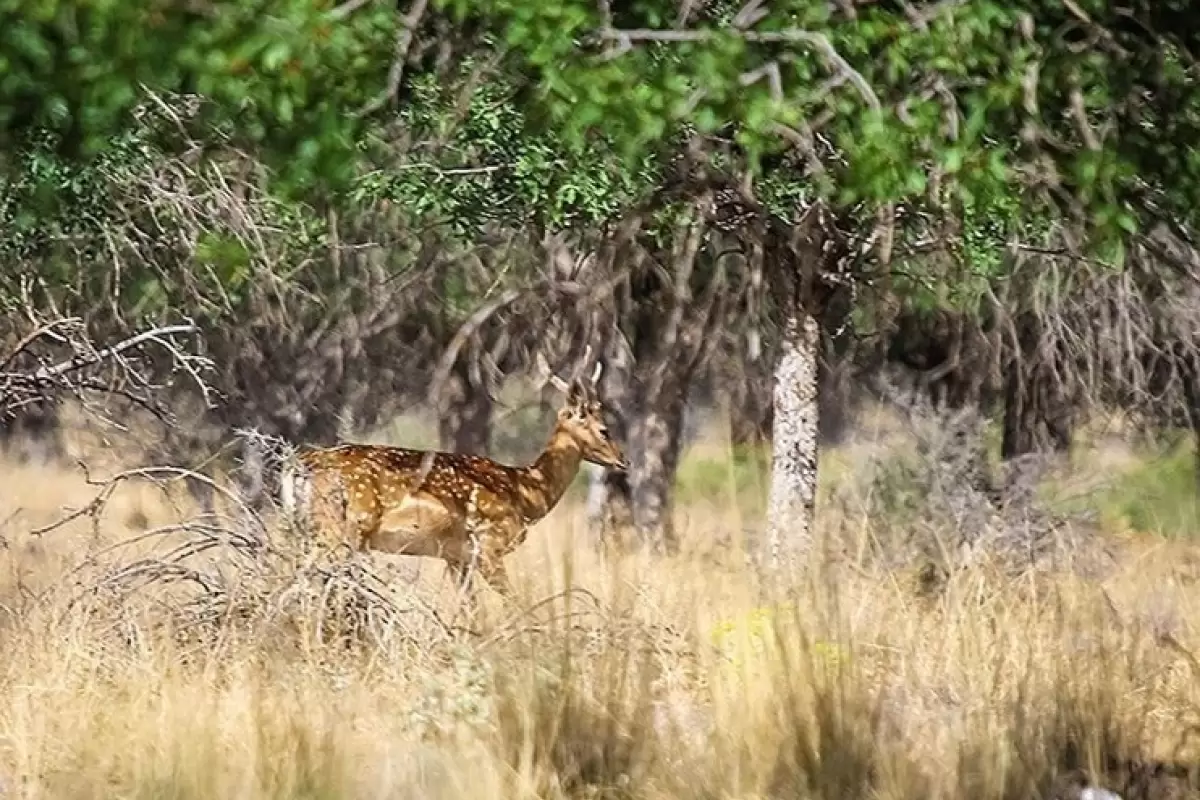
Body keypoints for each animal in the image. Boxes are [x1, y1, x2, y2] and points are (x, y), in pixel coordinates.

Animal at [274, 352, 624, 614]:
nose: (623, 460)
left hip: (305, 530)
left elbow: (471, 611)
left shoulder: (456, 557)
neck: (525, 493)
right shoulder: (488, 545)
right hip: (340, 529)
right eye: (604, 429)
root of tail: (300, 467)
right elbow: (515, 605)